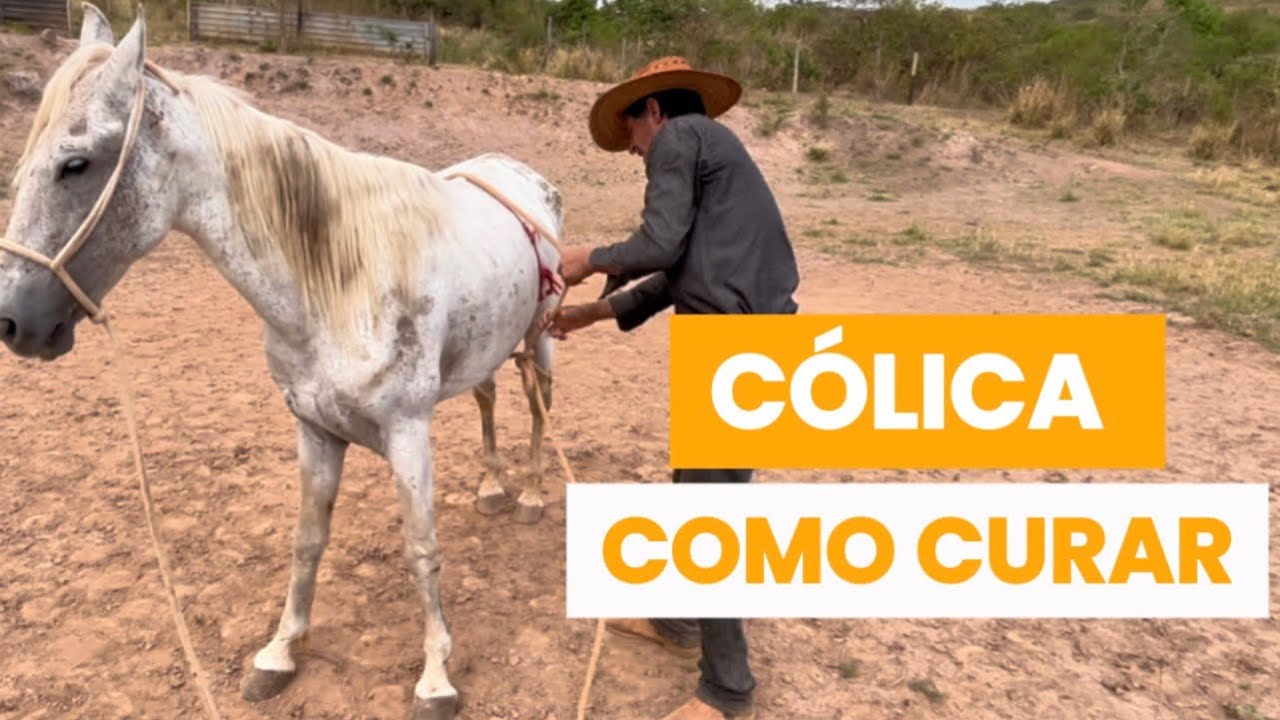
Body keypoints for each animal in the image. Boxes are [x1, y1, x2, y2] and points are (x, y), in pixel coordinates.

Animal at [0, 5, 564, 718]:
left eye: (76, 164)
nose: (13, 321)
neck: (337, 282)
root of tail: (520, 175)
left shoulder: (408, 432)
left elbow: (421, 547)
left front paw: (436, 674)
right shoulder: (314, 429)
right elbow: (307, 541)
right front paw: (280, 651)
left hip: (542, 340)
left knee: (540, 406)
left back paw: (532, 494)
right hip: (486, 347)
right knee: (489, 398)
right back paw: (493, 488)